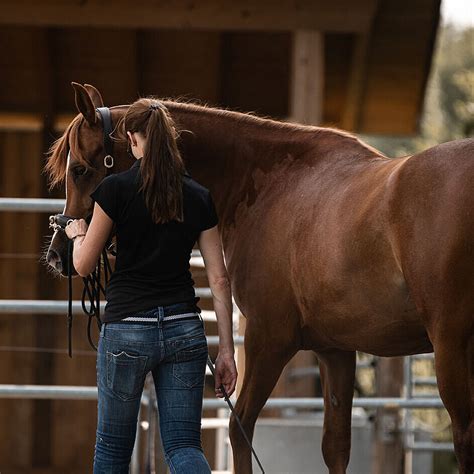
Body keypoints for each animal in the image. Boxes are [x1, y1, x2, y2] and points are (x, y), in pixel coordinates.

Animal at [45, 83, 474, 472]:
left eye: (79, 169)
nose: (59, 254)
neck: (270, 184)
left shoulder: (268, 339)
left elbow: (241, 429)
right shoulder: (334, 350)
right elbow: (335, 446)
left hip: (452, 348)